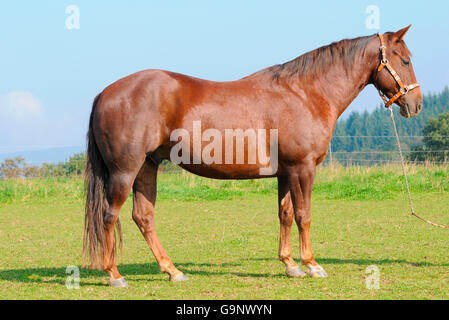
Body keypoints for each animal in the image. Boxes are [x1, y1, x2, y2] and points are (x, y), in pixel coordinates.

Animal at [83, 26, 420, 288]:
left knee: (143, 217)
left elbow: (285, 215)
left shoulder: (286, 172)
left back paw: (172, 271)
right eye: (404, 60)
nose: (415, 104)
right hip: (125, 171)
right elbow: (304, 215)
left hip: (147, 167)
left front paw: (291, 265)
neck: (305, 94)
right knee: (109, 216)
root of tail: (104, 93)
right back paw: (115, 275)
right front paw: (312, 265)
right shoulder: (303, 168)